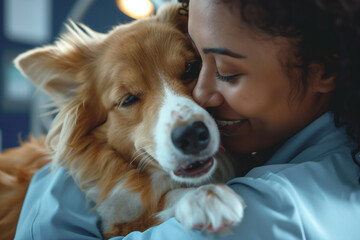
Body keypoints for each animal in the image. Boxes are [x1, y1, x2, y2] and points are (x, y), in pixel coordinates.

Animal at [0, 3, 245, 240]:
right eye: (128, 99)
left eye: (191, 68)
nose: (192, 135)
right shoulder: (114, 224)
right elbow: (158, 205)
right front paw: (204, 196)